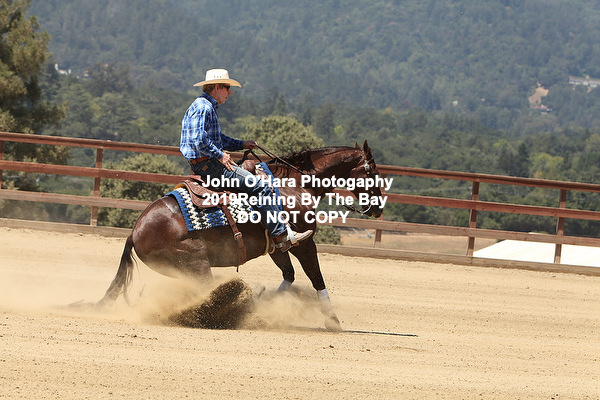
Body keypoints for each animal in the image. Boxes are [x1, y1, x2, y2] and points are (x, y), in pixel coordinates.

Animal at [98, 140, 384, 330]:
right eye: (371, 172)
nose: (378, 209)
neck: (295, 184)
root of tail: (135, 232)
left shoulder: (276, 246)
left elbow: (289, 275)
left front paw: (261, 303)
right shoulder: (303, 244)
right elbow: (316, 278)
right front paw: (332, 320)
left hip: (183, 270)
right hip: (196, 261)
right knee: (207, 295)